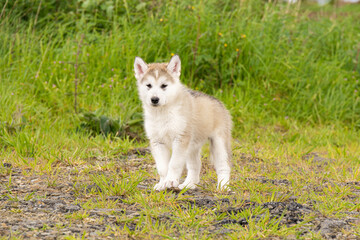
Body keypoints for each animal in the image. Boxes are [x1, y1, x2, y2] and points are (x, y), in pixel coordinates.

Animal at [134, 54, 232, 191]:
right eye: (149, 85)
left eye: (164, 85)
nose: (154, 99)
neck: (162, 114)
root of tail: (219, 102)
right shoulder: (157, 141)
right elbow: (162, 167)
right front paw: (163, 183)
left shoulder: (180, 139)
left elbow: (173, 164)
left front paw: (170, 181)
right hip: (192, 147)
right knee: (195, 165)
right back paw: (188, 185)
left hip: (219, 143)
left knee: (224, 166)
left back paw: (223, 187)